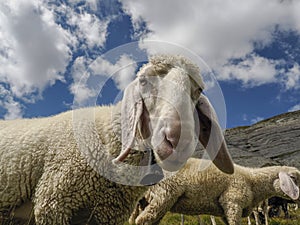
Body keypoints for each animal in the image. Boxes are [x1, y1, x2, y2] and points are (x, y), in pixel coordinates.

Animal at [131, 158, 300, 225]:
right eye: (293, 178)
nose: (298, 198)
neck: (251, 180)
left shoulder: (226, 212)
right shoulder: (232, 203)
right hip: (164, 195)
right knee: (142, 220)